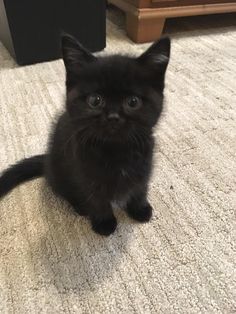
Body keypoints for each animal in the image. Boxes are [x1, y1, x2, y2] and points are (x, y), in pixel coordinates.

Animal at [0, 34, 171, 236]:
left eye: (133, 102)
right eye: (95, 100)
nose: (113, 117)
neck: (117, 150)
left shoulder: (145, 163)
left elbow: (140, 187)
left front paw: (140, 208)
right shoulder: (84, 172)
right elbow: (96, 198)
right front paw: (104, 222)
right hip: (59, 172)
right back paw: (80, 207)